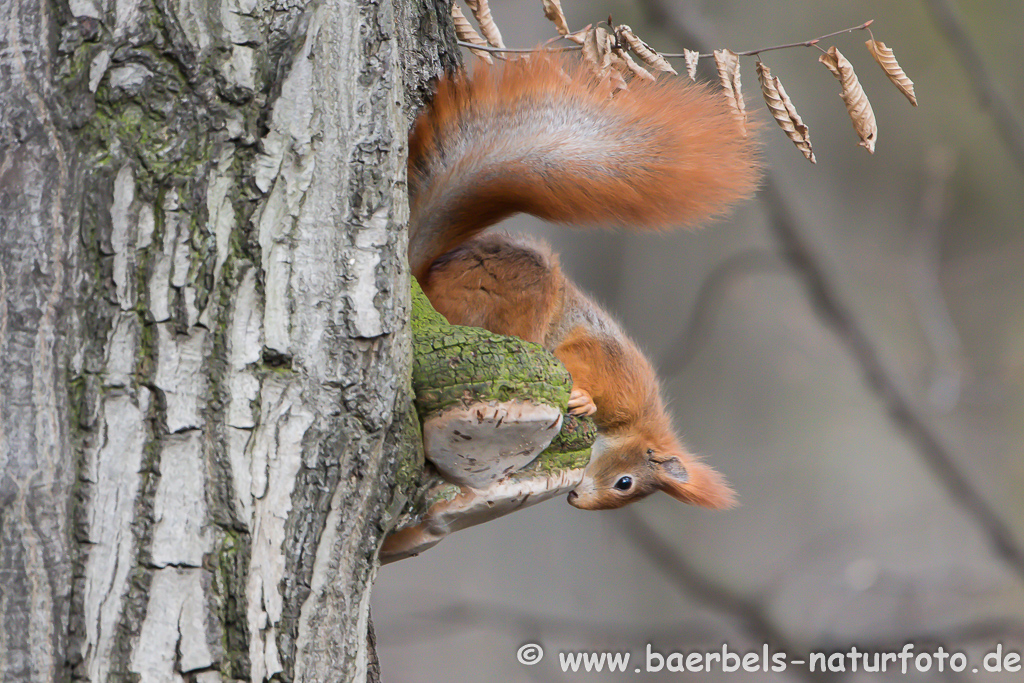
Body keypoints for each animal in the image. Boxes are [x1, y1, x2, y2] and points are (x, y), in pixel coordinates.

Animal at [407, 53, 761, 509]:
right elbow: (576, 359)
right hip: (514, 293)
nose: (575, 498)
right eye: (625, 482)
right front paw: (583, 398)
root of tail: (424, 279)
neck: (631, 423)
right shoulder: (609, 365)